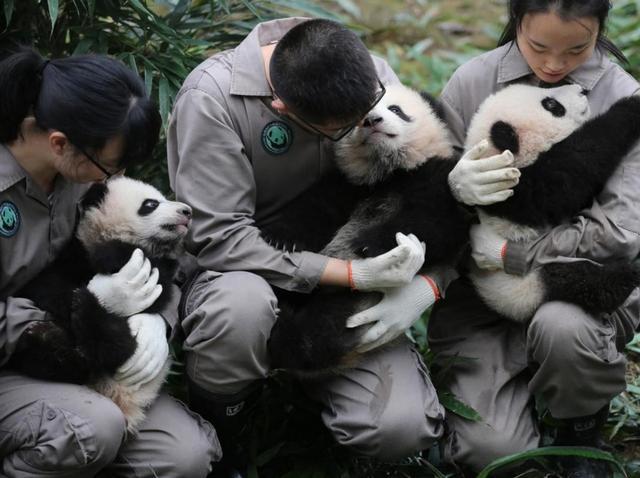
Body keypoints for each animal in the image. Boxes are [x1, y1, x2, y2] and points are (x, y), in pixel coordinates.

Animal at [8, 176, 192, 432]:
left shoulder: (157, 275)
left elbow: (157, 287)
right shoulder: (75, 254)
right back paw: (49, 337)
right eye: (151, 204)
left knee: (116, 347)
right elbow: (45, 284)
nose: (187, 211)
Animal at [266, 83, 471, 374]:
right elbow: (314, 208)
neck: (387, 170)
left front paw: (368, 244)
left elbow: (438, 221)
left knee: (326, 328)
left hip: (354, 302)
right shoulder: (347, 184)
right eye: (360, 115)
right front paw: (281, 236)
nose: (372, 120)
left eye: (396, 109)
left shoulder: (435, 175)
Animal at [465, 83, 640, 322]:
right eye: (551, 105)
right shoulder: (515, 192)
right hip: (523, 286)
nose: (581, 90)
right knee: (575, 279)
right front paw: (631, 107)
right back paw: (625, 275)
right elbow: (575, 167)